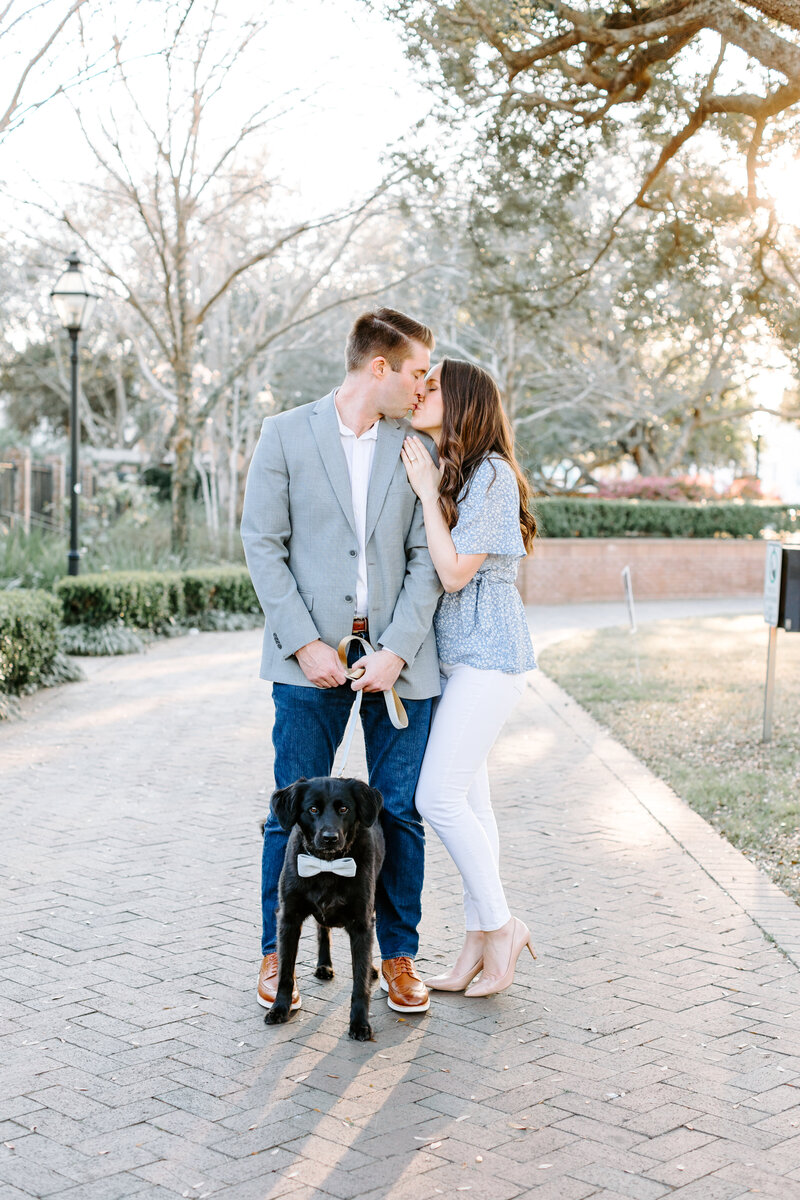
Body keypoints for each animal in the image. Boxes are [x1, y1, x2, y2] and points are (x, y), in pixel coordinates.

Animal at [266, 777, 383, 1041]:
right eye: (312, 809)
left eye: (344, 809)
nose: (330, 837)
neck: (327, 866)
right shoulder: (288, 919)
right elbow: (285, 973)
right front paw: (280, 1008)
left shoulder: (362, 925)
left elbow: (359, 983)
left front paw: (359, 1023)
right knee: (322, 929)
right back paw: (324, 964)